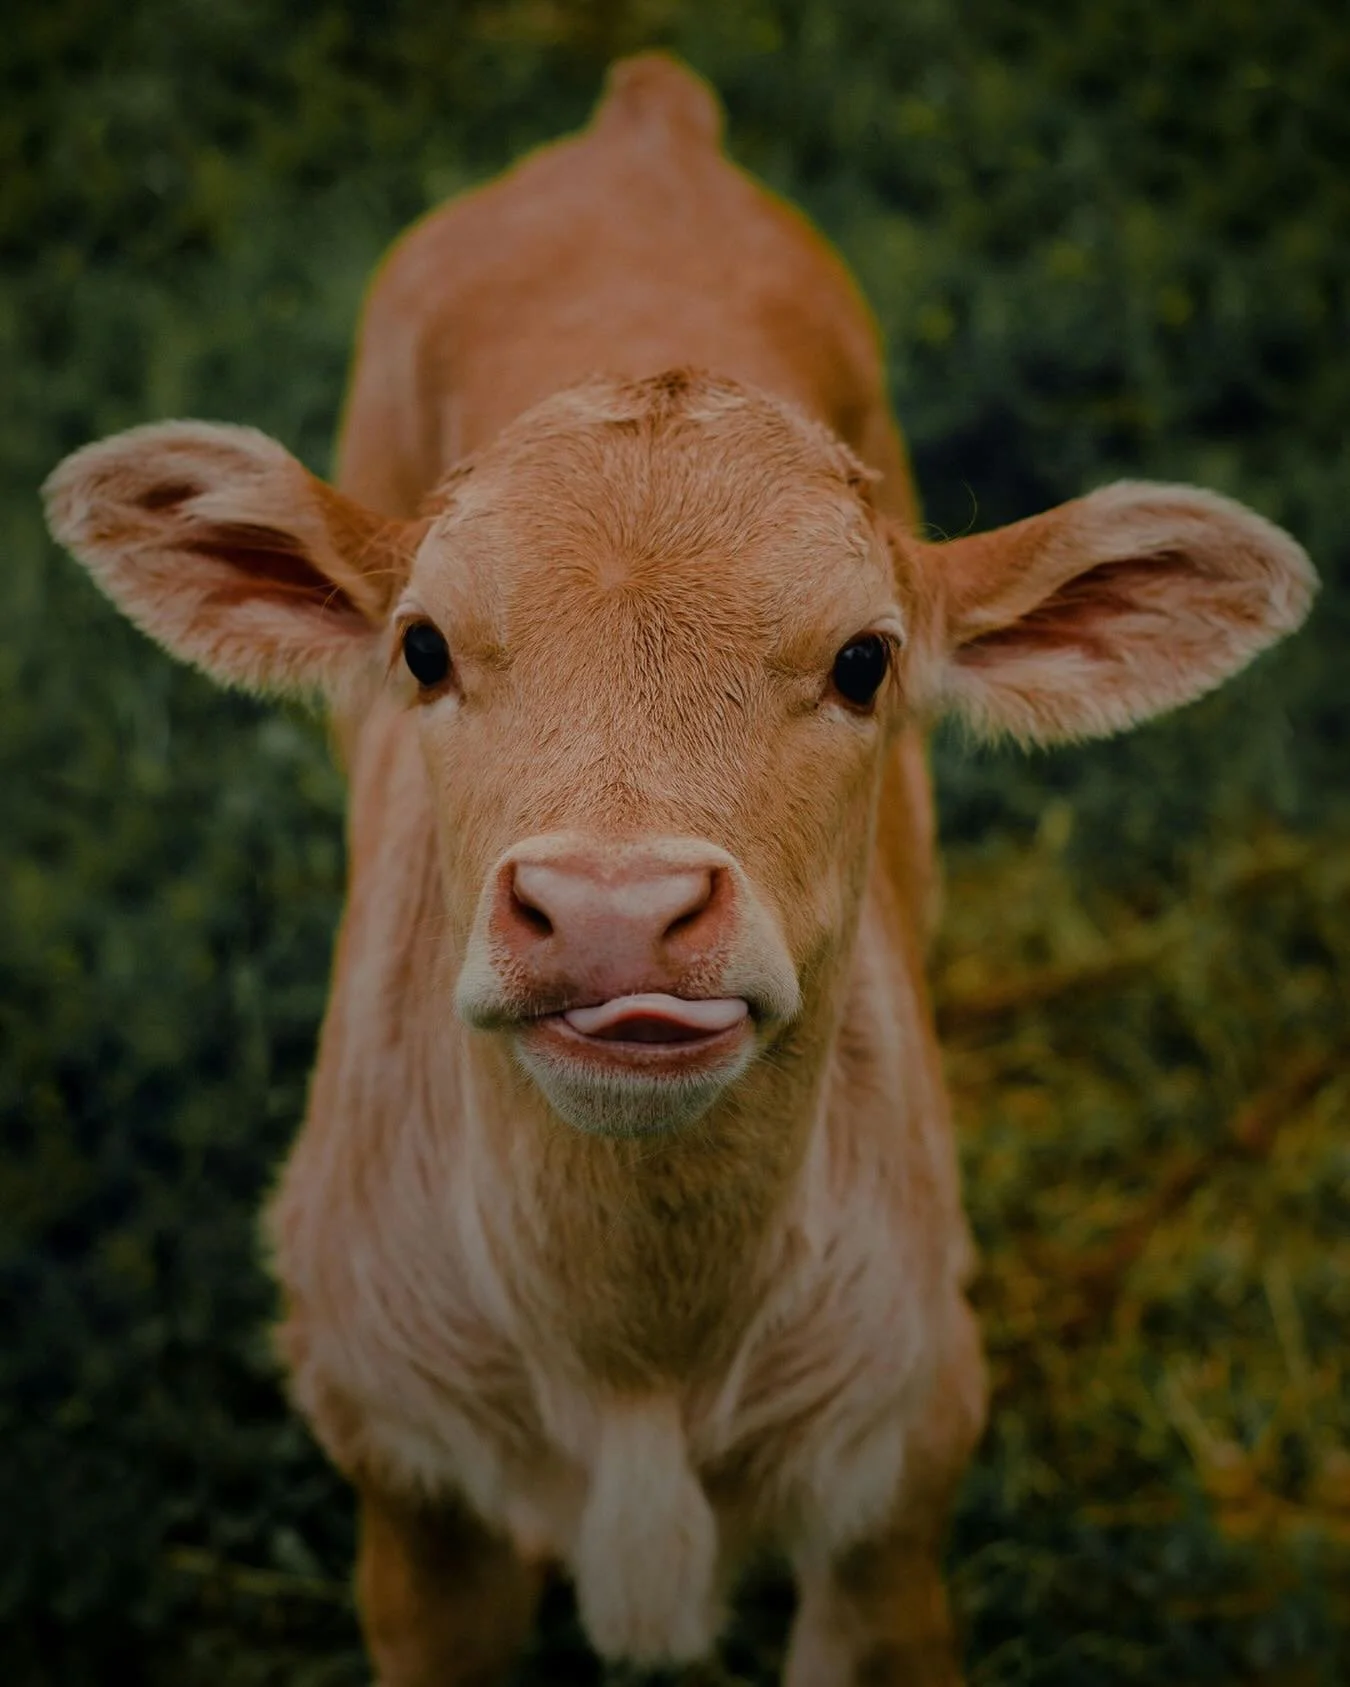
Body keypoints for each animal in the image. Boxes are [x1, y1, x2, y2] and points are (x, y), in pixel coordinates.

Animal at [44, 51, 1315, 1687]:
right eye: (423, 647)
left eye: (864, 660)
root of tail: (638, 117)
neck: (634, 1360)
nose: (611, 913)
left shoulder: (895, 1502)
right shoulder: (407, 1497)